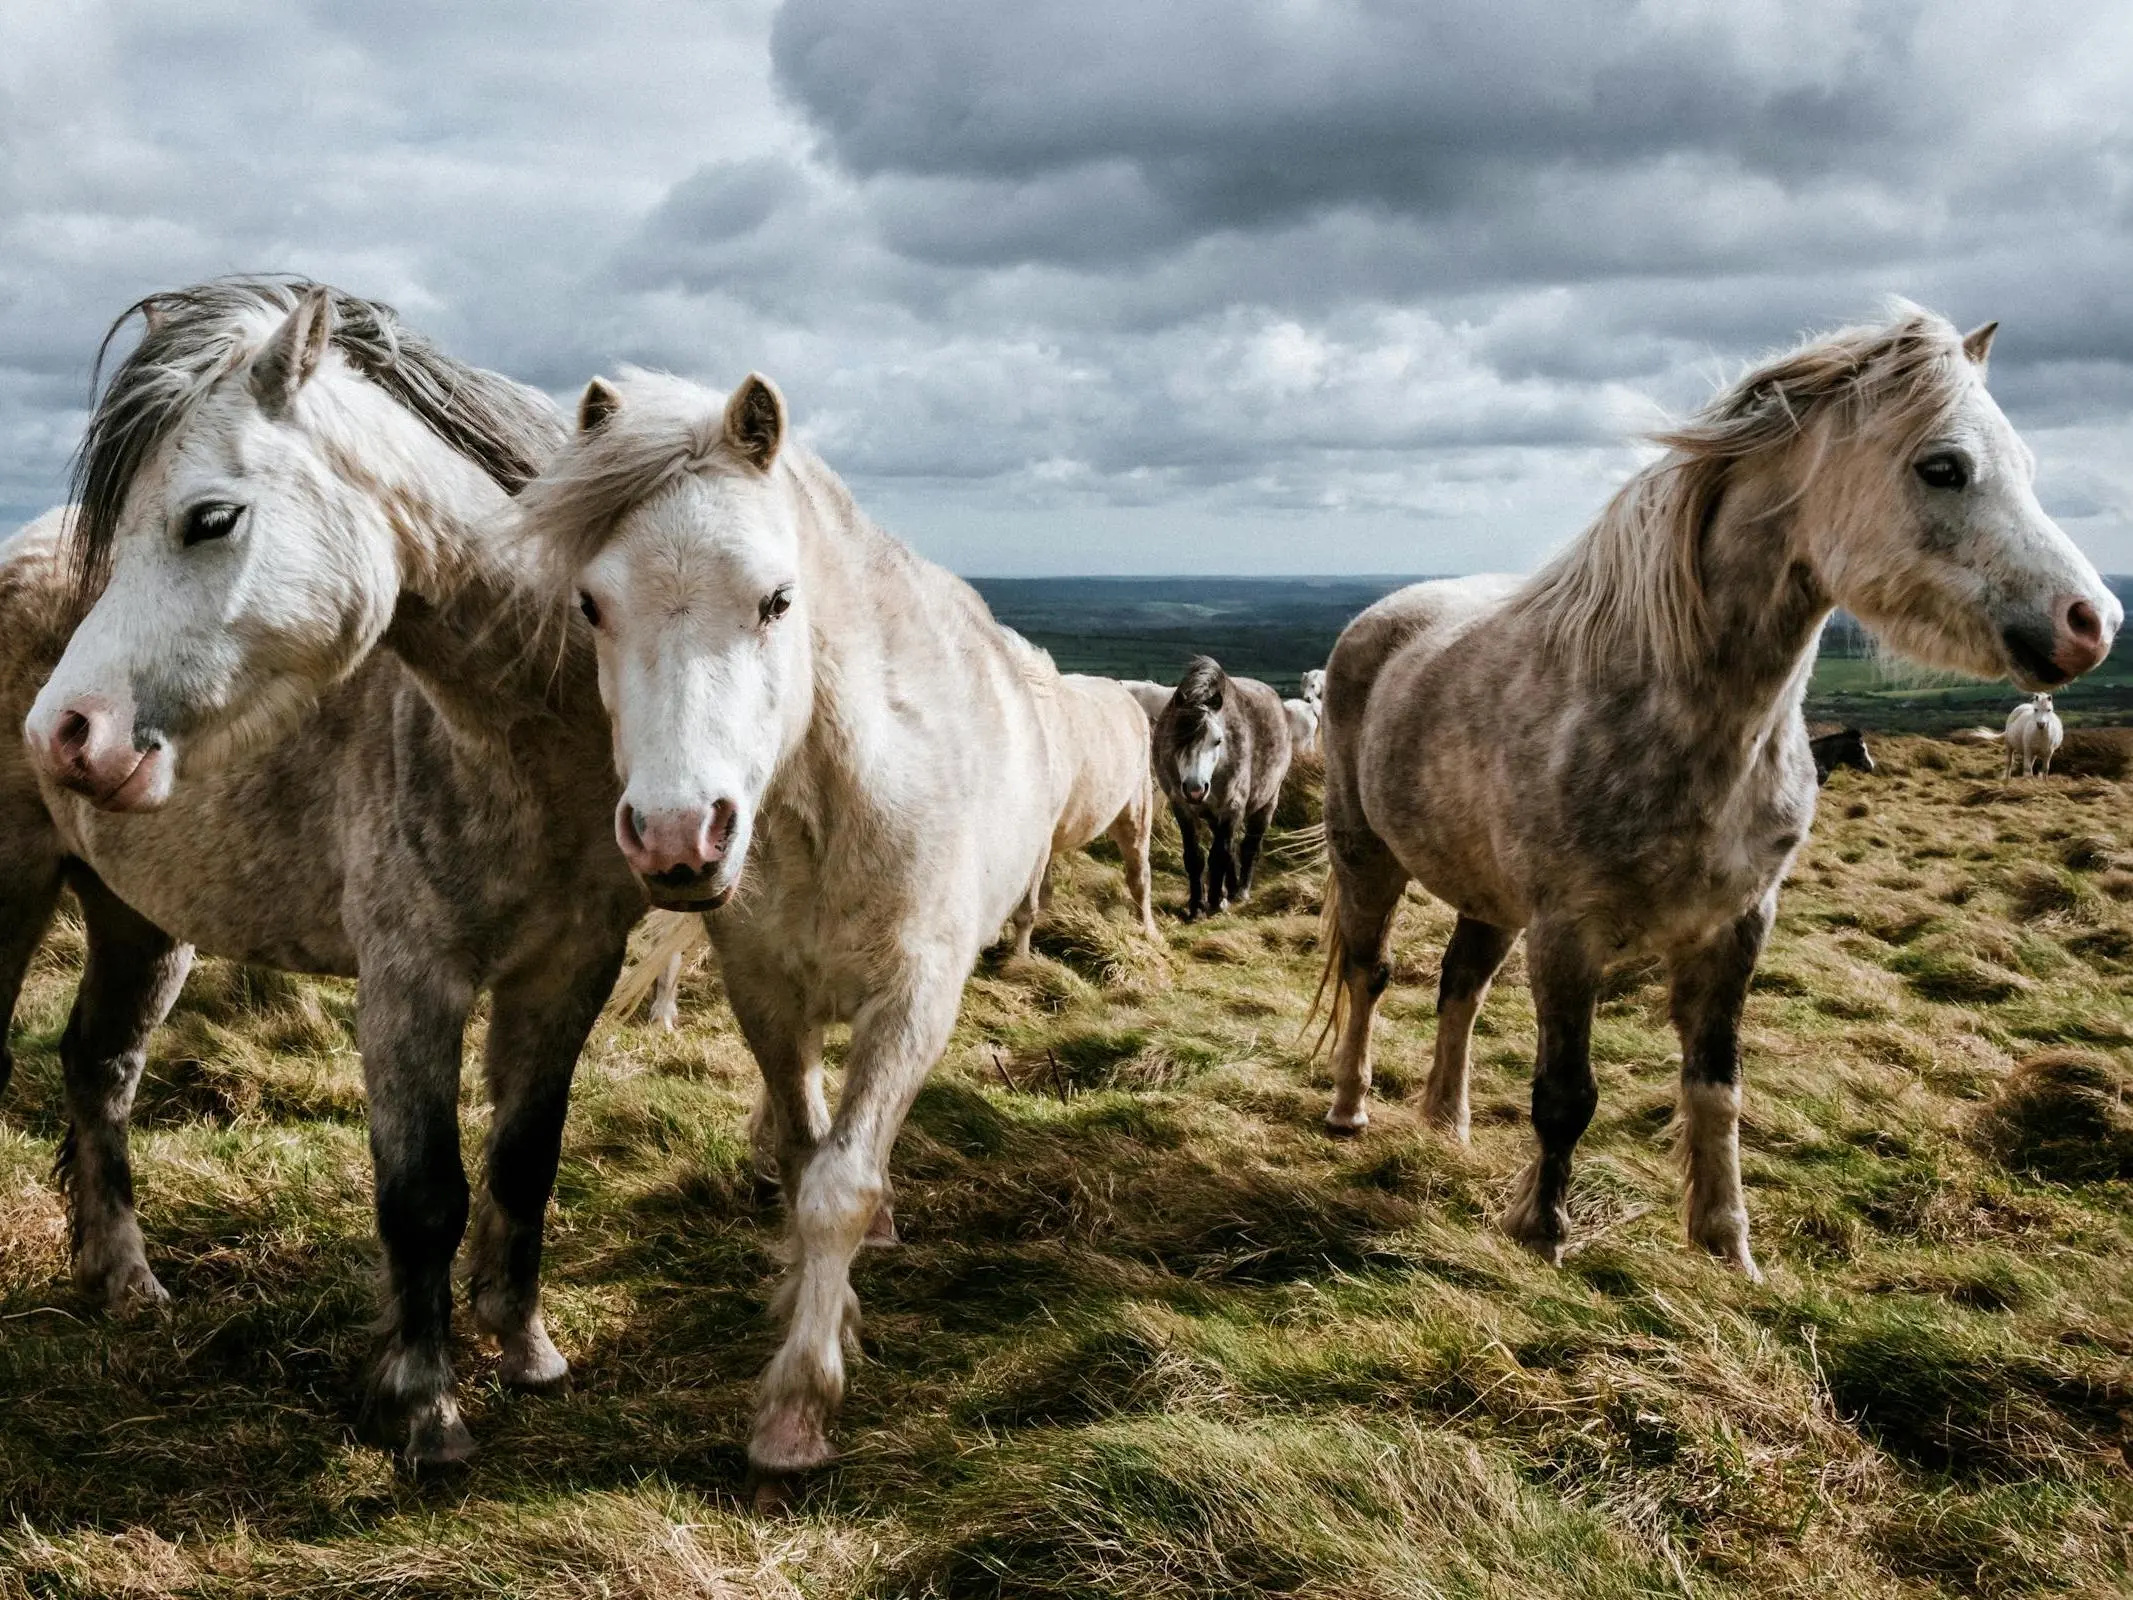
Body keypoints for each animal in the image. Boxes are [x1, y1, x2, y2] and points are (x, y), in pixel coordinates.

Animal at [6, 279, 639, 1467]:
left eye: (211, 518)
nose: (65, 733)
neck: (534, 743)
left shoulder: (572, 970)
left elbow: (525, 1159)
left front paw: (525, 1349)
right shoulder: (410, 981)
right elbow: (423, 1192)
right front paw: (424, 1409)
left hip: (139, 920)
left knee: (100, 1065)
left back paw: (125, 1282)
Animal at [518, 369, 1066, 1501]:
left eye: (777, 599)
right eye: (592, 604)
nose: (678, 835)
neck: (834, 805)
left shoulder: (914, 1000)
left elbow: (840, 1187)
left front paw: (798, 1409)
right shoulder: (766, 994)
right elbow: (812, 1154)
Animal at [1160, 657, 1288, 921]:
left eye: (1217, 740)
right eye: (1176, 740)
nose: (1195, 789)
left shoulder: (1232, 806)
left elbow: (1220, 855)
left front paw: (1216, 902)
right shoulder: (1182, 808)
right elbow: (1196, 857)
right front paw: (1197, 906)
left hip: (1267, 802)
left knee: (1249, 847)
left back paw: (1240, 891)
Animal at [1313, 309, 2115, 1280]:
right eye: (1942, 467)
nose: (2093, 623)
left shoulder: (1737, 927)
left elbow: (1715, 1086)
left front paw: (1727, 1246)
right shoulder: (1567, 934)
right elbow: (1564, 1093)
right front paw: (1543, 1231)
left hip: (1487, 896)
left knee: (1458, 988)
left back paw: (1445, 1124)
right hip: (1367, 856)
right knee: (1368, 973)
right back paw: (1349, 1107)